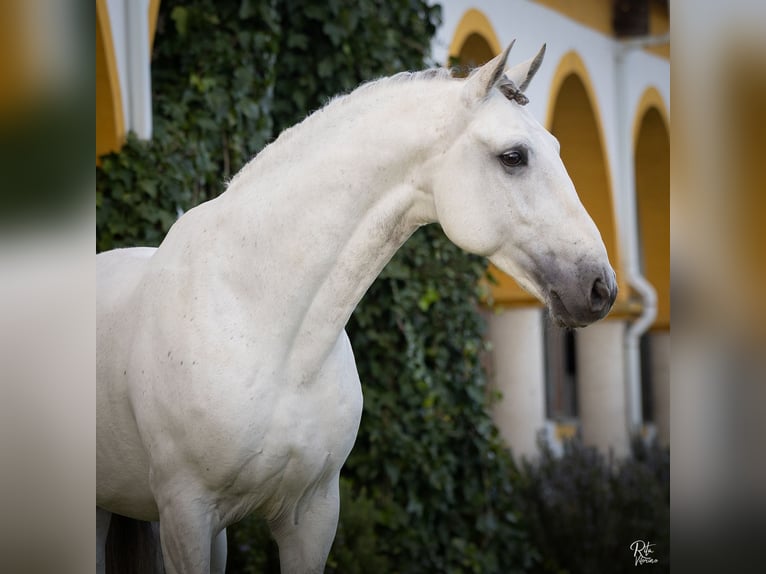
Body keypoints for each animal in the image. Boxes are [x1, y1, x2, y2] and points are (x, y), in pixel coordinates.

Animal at [97, 41, 617, 573]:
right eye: (513, 157)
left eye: (556, 147)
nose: (601, 287)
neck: (263, 325)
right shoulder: (187, 514)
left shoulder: (313, 513)